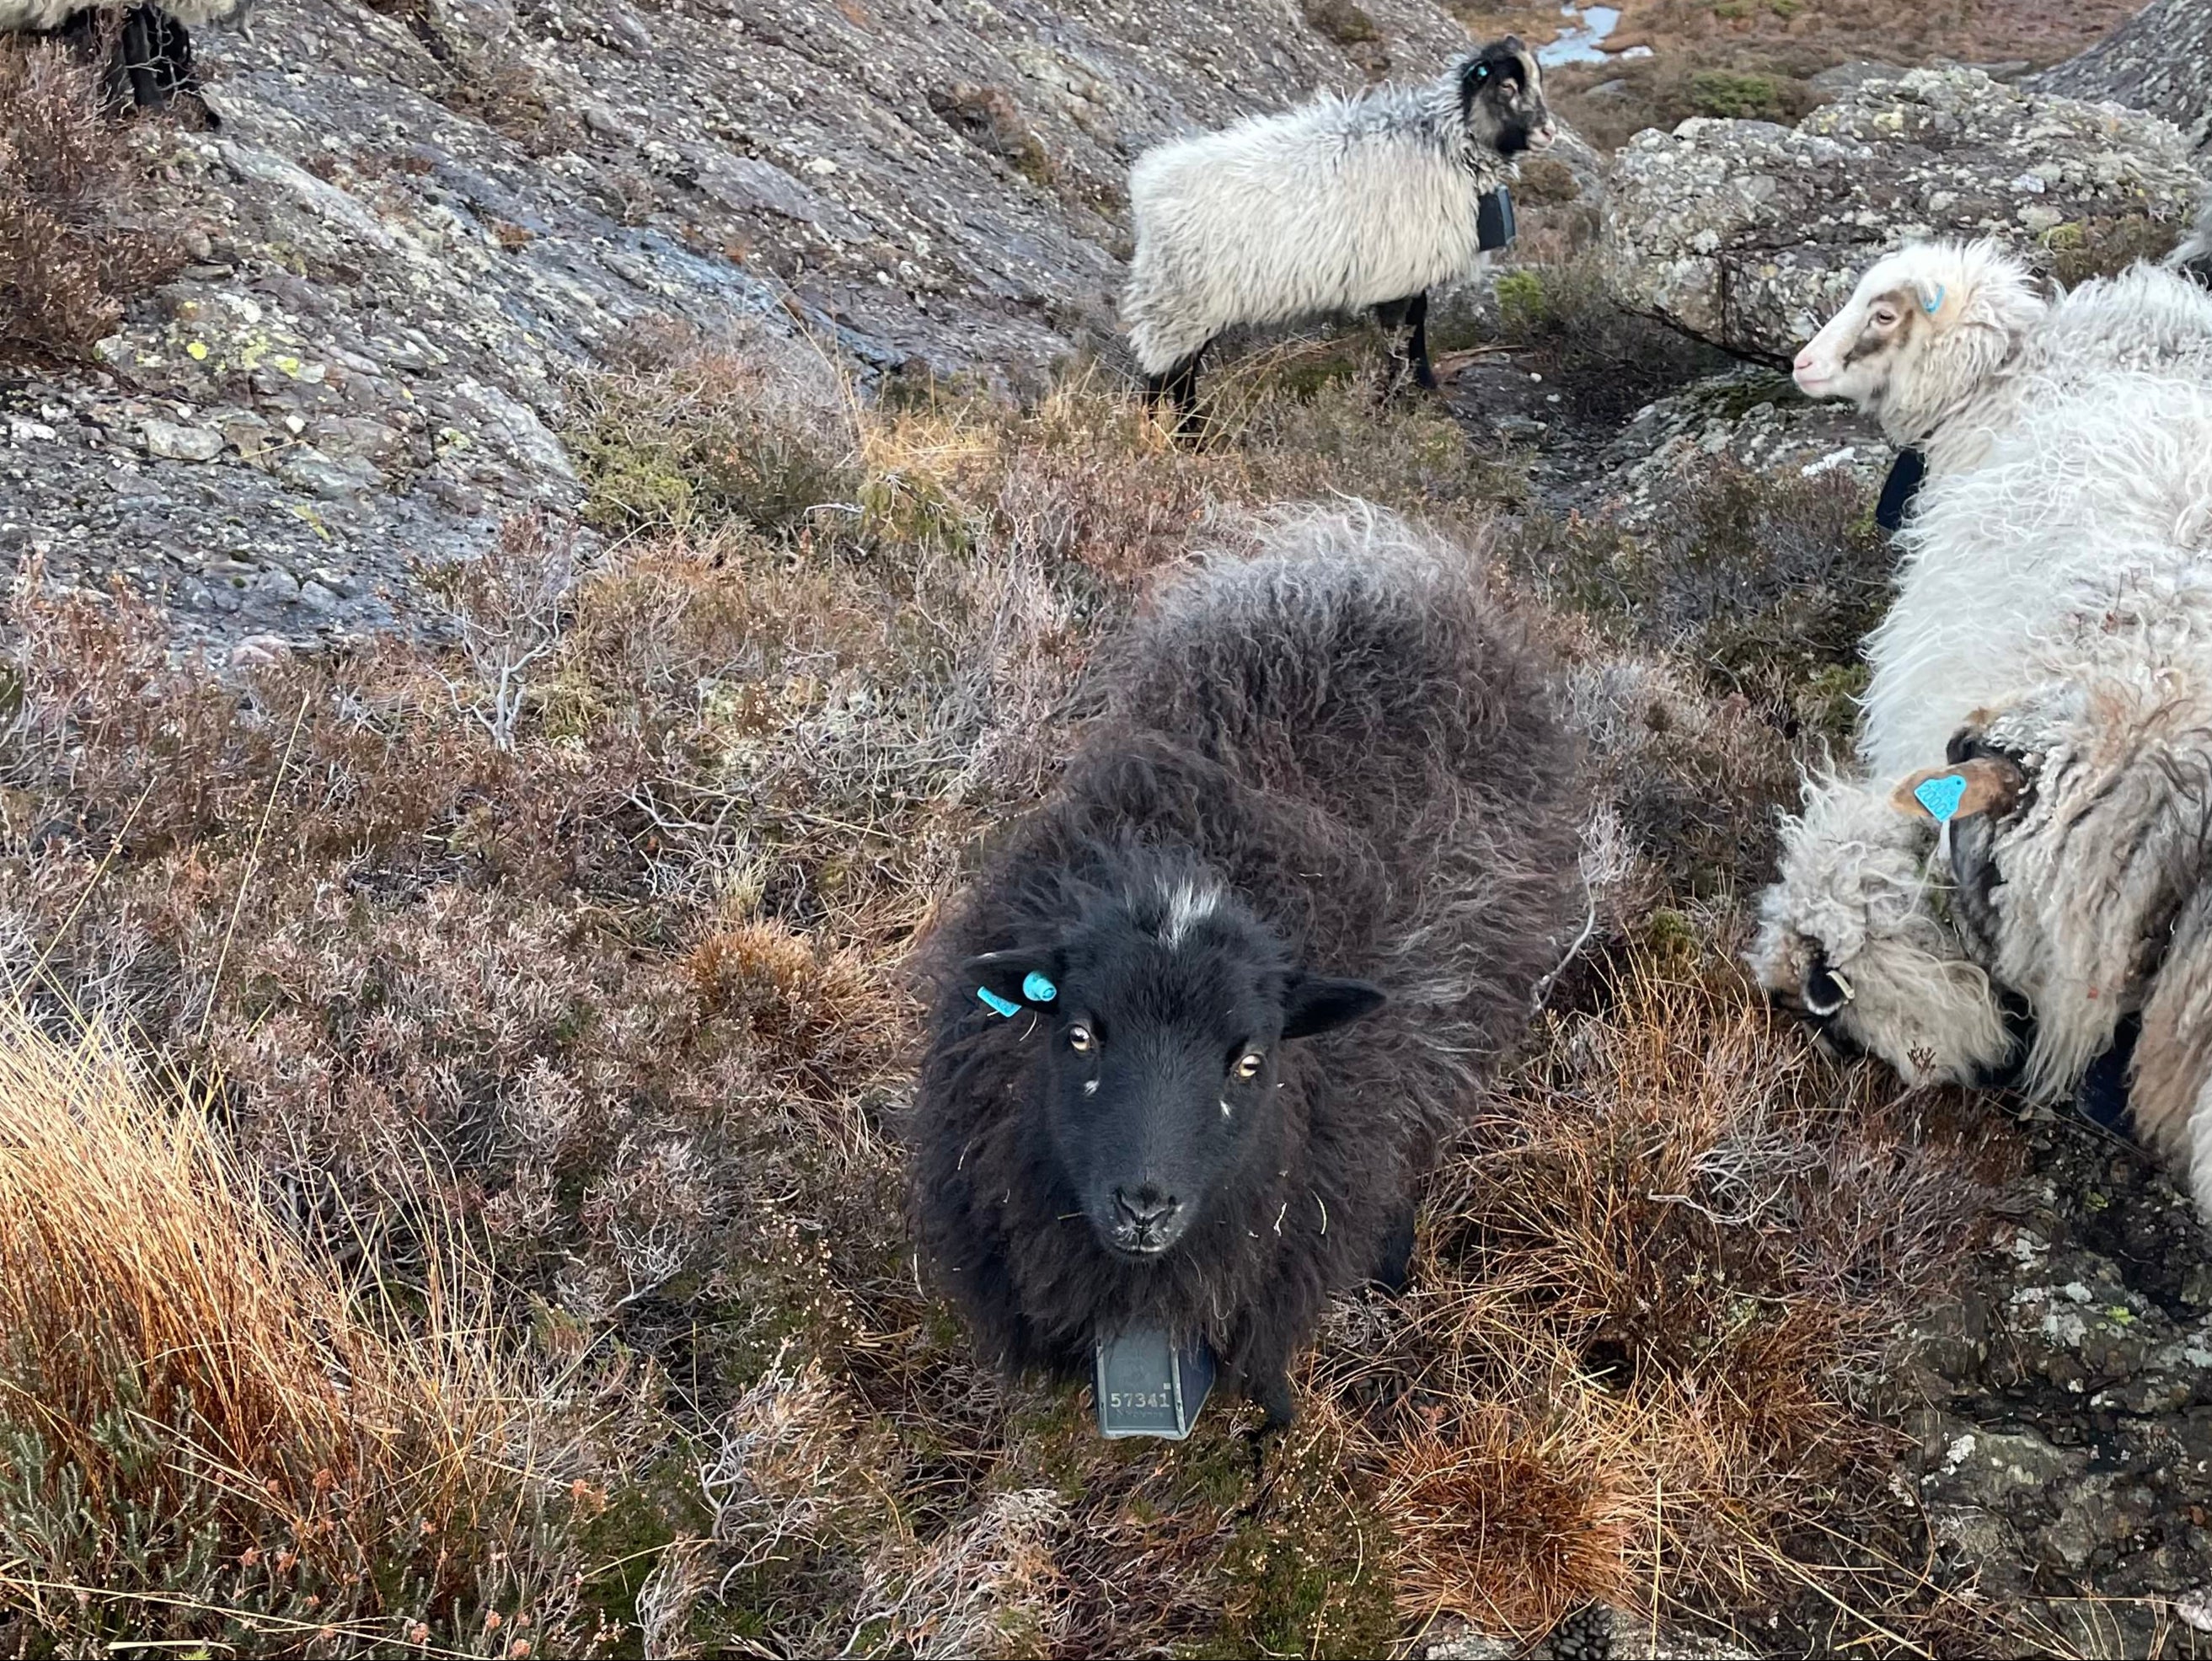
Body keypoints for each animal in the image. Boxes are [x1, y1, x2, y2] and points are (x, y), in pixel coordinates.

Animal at [1123, 37, 1557, 436]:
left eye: (1538, 80)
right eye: (1506, 86)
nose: (1548, 132)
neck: (1442, 144)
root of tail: (1149, 185)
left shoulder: (1412, 271)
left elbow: (1416, 328)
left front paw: (1423, 389)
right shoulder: (1395, 276)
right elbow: (1398, 339)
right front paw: (1390, 402)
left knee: (1176, 369)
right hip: (1184, 298)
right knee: (1170, 371)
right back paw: (1181, 435)